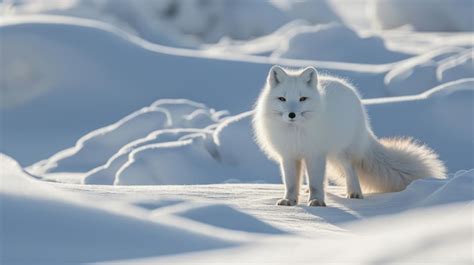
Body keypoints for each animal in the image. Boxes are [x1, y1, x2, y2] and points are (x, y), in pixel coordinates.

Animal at [254, 65, 446, 206]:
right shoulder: (288, 155)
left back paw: (354, 193)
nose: (292, 114)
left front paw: (317, 201)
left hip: (341, 153)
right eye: (282, 99)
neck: (295, 133)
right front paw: (290, 200)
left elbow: (316, 181)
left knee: (350, 171)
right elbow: (291, 182)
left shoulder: (315, 153)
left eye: (302, 99)